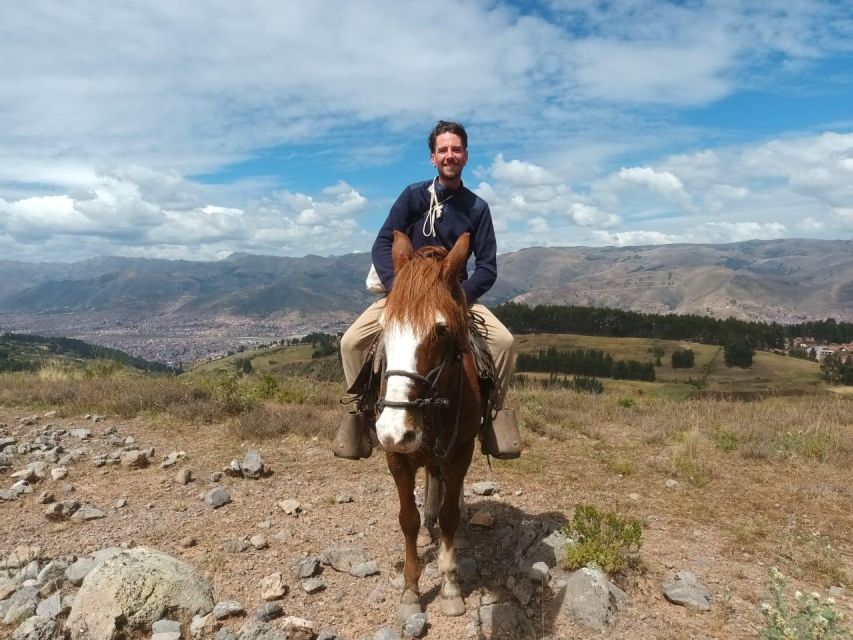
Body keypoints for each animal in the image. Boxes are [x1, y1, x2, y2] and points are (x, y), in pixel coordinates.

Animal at [376, 230, 482, 620]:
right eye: (383, 328)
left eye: (441, 330)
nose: (394, 430)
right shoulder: (396, 457)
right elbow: (407, 518)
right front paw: (411, 590)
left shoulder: (461, 451)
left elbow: (450, 515)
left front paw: (450, 584)